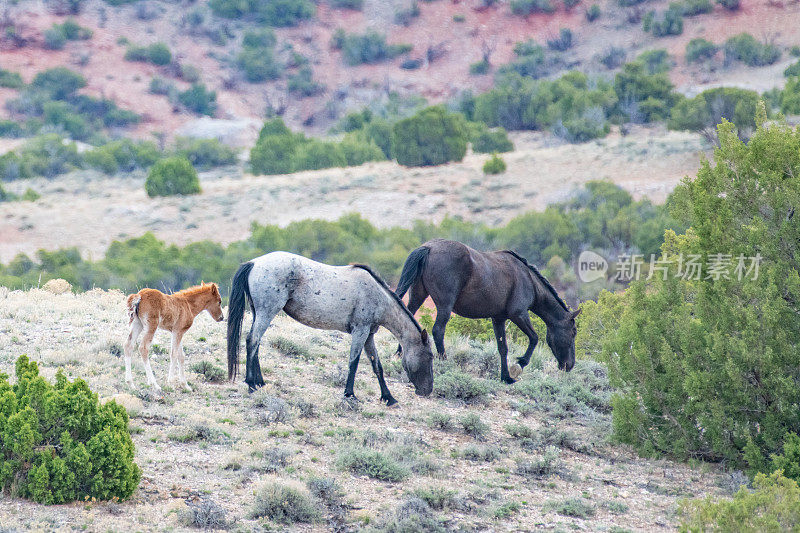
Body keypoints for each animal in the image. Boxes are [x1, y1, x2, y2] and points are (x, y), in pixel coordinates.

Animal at [225, 250, 434, 404]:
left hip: (259, 313)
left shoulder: (368, 335)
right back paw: (251, 384)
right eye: (431, 356)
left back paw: (260, 382)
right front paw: (350, 394)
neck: (377, 295)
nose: (427, 391)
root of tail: (253, 263)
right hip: (266, 312)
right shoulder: (360, 331)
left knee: (256, 343)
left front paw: (389, 398)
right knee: (252, 340)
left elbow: (377, 366)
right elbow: (353, 362)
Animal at [396, 238, 580, 382]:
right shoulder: (519, 314)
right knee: (438, 330)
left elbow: (503, 348)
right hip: (444, 305)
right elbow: (534, 338)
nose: (569, 365)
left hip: (418, 296)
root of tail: (429, 247)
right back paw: (444, 362)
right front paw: (518, 366)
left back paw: (400, 355)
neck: (529, 280)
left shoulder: (498, 319)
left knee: (406, 318)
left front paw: (506, 377)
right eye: (573, 332)